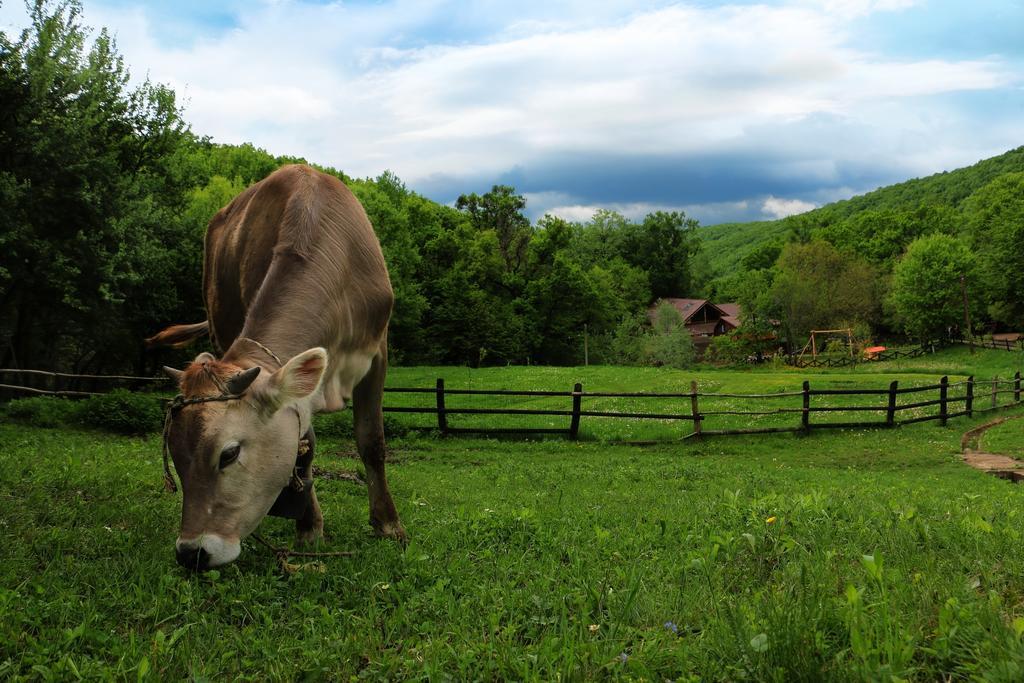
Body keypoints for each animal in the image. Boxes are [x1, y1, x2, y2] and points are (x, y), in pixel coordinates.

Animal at [148, 163, 403, 573]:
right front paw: (309, 527)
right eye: (175, 456)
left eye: (229, 453)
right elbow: (305, 449)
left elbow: (372, 441)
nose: (191, 552)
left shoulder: (377, 350)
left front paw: (389, 525)